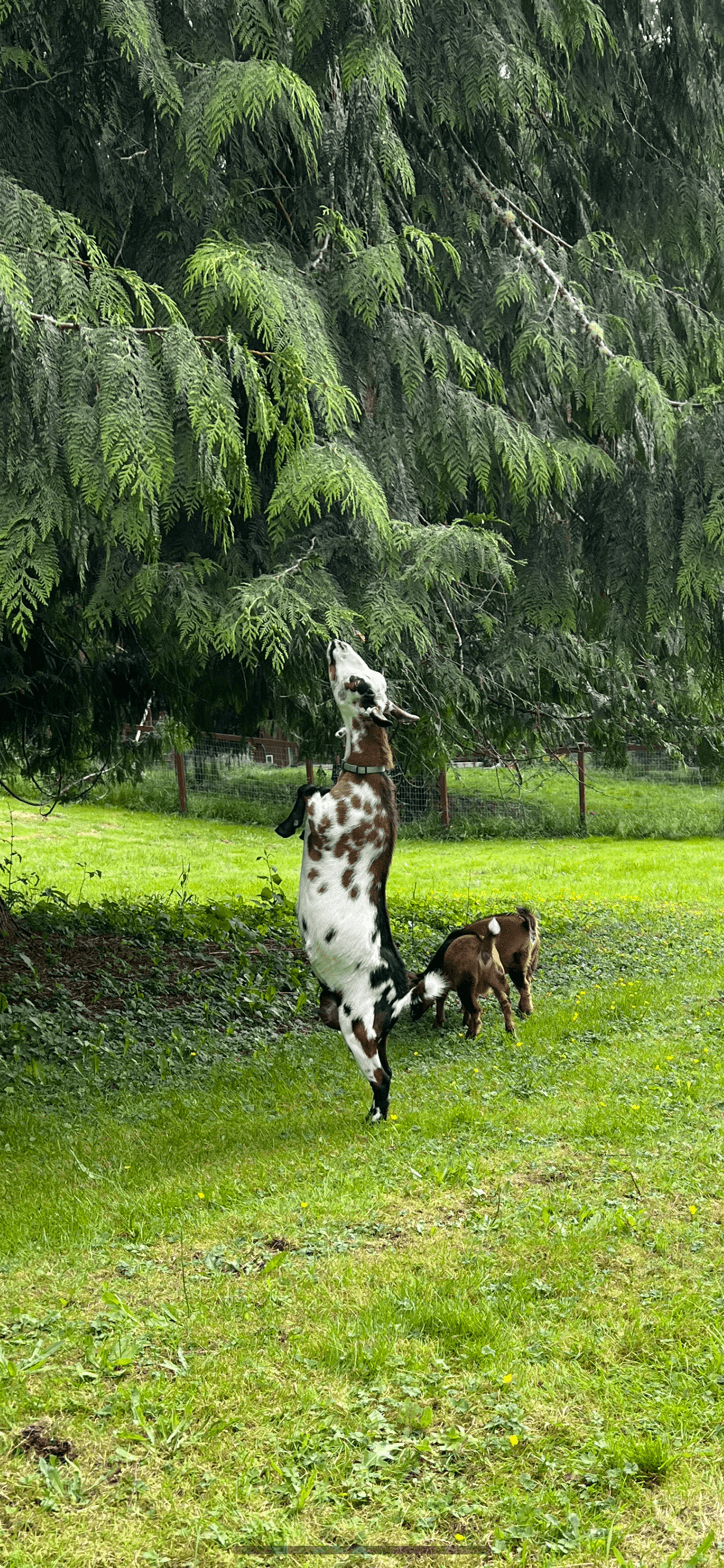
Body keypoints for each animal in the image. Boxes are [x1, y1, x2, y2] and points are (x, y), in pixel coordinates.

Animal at [275, 639, 418, 1122]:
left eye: (359, 681)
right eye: (369, 672)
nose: (337, 642)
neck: (366, 778)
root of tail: (399, 995)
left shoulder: (326, 818)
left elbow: (307, 788)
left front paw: (286, 825)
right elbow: (308, 784)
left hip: (356, 1024)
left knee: (383, 1078)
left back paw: (374, 1120)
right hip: (358, 1026)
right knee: (386, 1073)